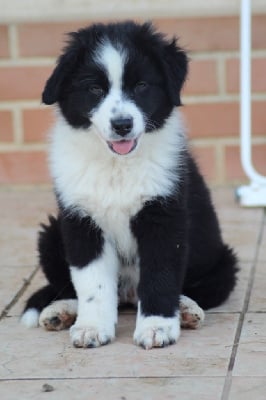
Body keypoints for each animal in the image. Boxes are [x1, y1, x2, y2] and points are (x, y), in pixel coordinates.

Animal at [20, 21, 237, 350]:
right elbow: (91, 281)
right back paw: (61, 312)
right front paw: (92, 327)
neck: (117, 166)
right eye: (94, 89)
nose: (122, 125)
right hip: (51, 235)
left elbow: (160, 275)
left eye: (141, 86)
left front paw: (157, 328)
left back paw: (186, 309)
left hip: (223, 264)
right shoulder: (81, 221)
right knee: (68, 287)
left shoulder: (164, 217)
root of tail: (128, 296)